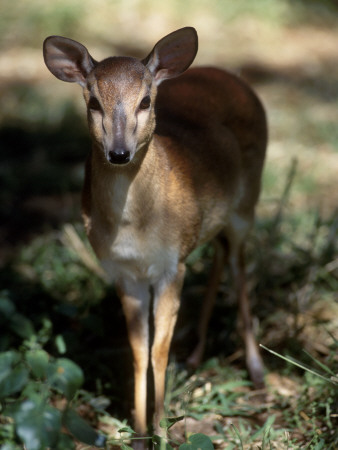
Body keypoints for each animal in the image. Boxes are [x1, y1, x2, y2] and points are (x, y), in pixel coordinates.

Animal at [43, 27, 268, 442]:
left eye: (145, 100)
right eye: (94, 102)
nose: (119, 153)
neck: (139, 225)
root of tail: (232, 77)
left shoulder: (170, 265)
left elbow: (159, 350)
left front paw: (163, 429)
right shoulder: (123, 271)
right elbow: (138, 350)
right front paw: (138, 432)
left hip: (248, 204)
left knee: (239, 267)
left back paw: (257, 372)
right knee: (220, 253)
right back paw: (194, 356)